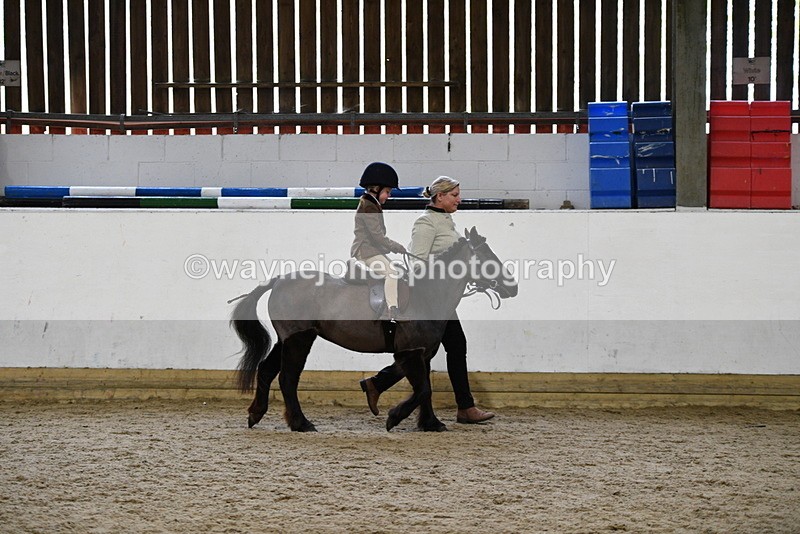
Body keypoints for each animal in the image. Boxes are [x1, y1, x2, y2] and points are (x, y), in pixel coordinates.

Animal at [229, 226, 518, 432]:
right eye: (487, 257)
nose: (512, 286)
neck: (426, 295)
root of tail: (278, 281)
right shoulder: (410, 352)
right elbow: (422, 389)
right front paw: (394, 417)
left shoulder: (423, 353)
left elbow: (425, 388)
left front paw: (431, 423)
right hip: (299, 340)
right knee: (288, 379)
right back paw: (301, 424)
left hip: (286, 340)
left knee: (266, 370)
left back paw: (256, 413)